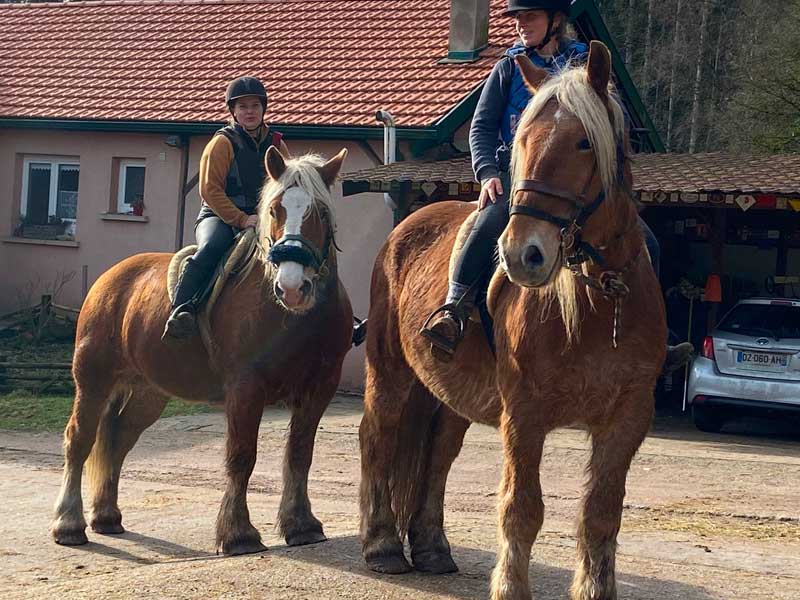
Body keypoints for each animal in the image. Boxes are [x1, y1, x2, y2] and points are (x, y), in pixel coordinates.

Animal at [49, 148, 350, 556]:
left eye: (320, 212)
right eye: (275, 210)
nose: (291, 287)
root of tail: (108, 280)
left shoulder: (318, 390)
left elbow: (300, 455)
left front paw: (301, 525)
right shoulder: (245, 389)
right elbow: (241, 456)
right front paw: (238, 533)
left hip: (147, 392)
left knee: (118, 438)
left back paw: (106, 516)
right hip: (93, 381)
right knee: (79, 441)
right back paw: (69, 523)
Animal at [360, 39, 664, 596]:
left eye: (584, 143)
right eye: (522, 139)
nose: (525, 254)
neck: (597, 299)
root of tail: (405, 227)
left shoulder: (628, 419)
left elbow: (600, 515)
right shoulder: (525, 412)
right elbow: (521, 509)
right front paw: (510, 586)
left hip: (451, 395)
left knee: (437, 456)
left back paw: (431, 548)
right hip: (389, 372)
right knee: (378, 438)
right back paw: (384, 546)